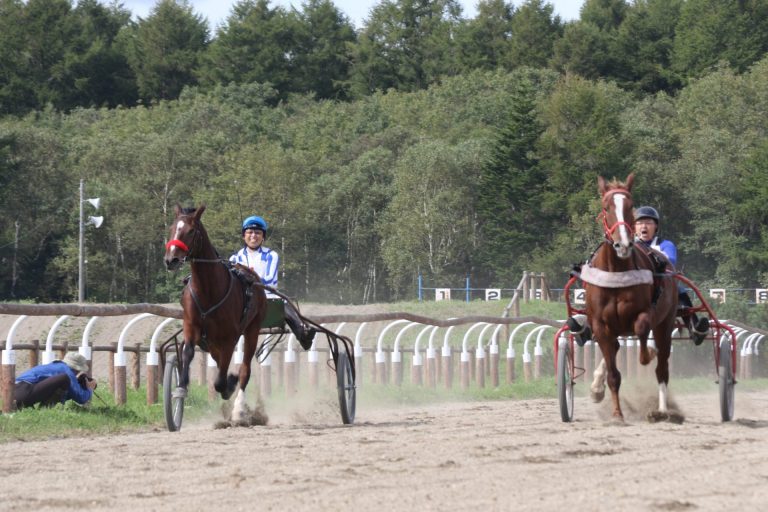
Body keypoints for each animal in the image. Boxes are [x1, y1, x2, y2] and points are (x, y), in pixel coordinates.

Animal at [163, 204, 267, 423]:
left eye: (191, 231)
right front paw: (180, 389)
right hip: (212, 342)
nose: (171, 260)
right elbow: (187, 352)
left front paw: (229, 384)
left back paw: (238, 409)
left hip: (253, 329)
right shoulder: (191, 325)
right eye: (172, 228)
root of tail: (253, 276)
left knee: (244, 369)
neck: (208, 290)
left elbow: (221, 380)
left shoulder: (229, 337)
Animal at [583, 173, 678, 421]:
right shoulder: (601, 323)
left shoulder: (644, 314)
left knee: (662, 367)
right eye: (606, 207)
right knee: (615, 349)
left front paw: (648, 353)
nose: (623, 244)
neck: (616, 273)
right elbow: (613, 373)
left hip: (666, 322)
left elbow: (643, 333)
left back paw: (662, 410)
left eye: (630, 206)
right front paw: (617, 414)